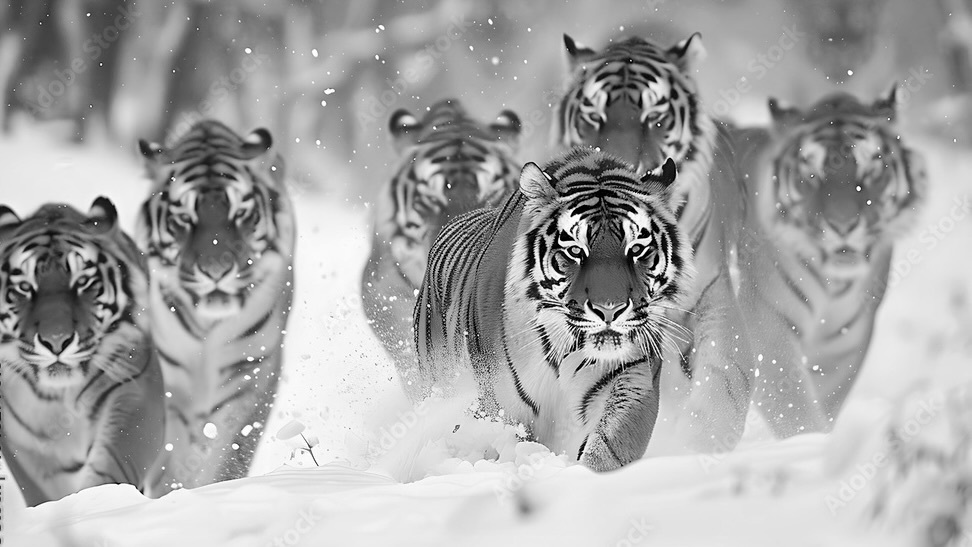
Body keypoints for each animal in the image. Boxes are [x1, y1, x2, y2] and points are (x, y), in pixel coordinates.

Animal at [0, 198, 165, 506]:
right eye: (25, 288)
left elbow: (114, 460)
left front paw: (98, 502)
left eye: (83, 283)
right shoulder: (24, 447)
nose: (56, 341)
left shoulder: (133, 389)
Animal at [136, 120, 295, 491]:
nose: (216, 270)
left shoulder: (250, 370)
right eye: (184, 218)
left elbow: (226, 448)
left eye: (240, 213)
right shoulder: (174, 381)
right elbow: (177, 452)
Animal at [414, 148, 693, 471]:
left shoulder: (632, 374)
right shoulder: (502, 399)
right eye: (575, 251)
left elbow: (612, 441)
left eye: (636, 250)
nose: (610, 310)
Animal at [731, 87, 926, 436]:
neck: (835, 284)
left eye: (871, 169)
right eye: (812, 175)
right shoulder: (766, 324)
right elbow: (796, 410)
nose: (843, 225)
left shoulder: (841, 348)